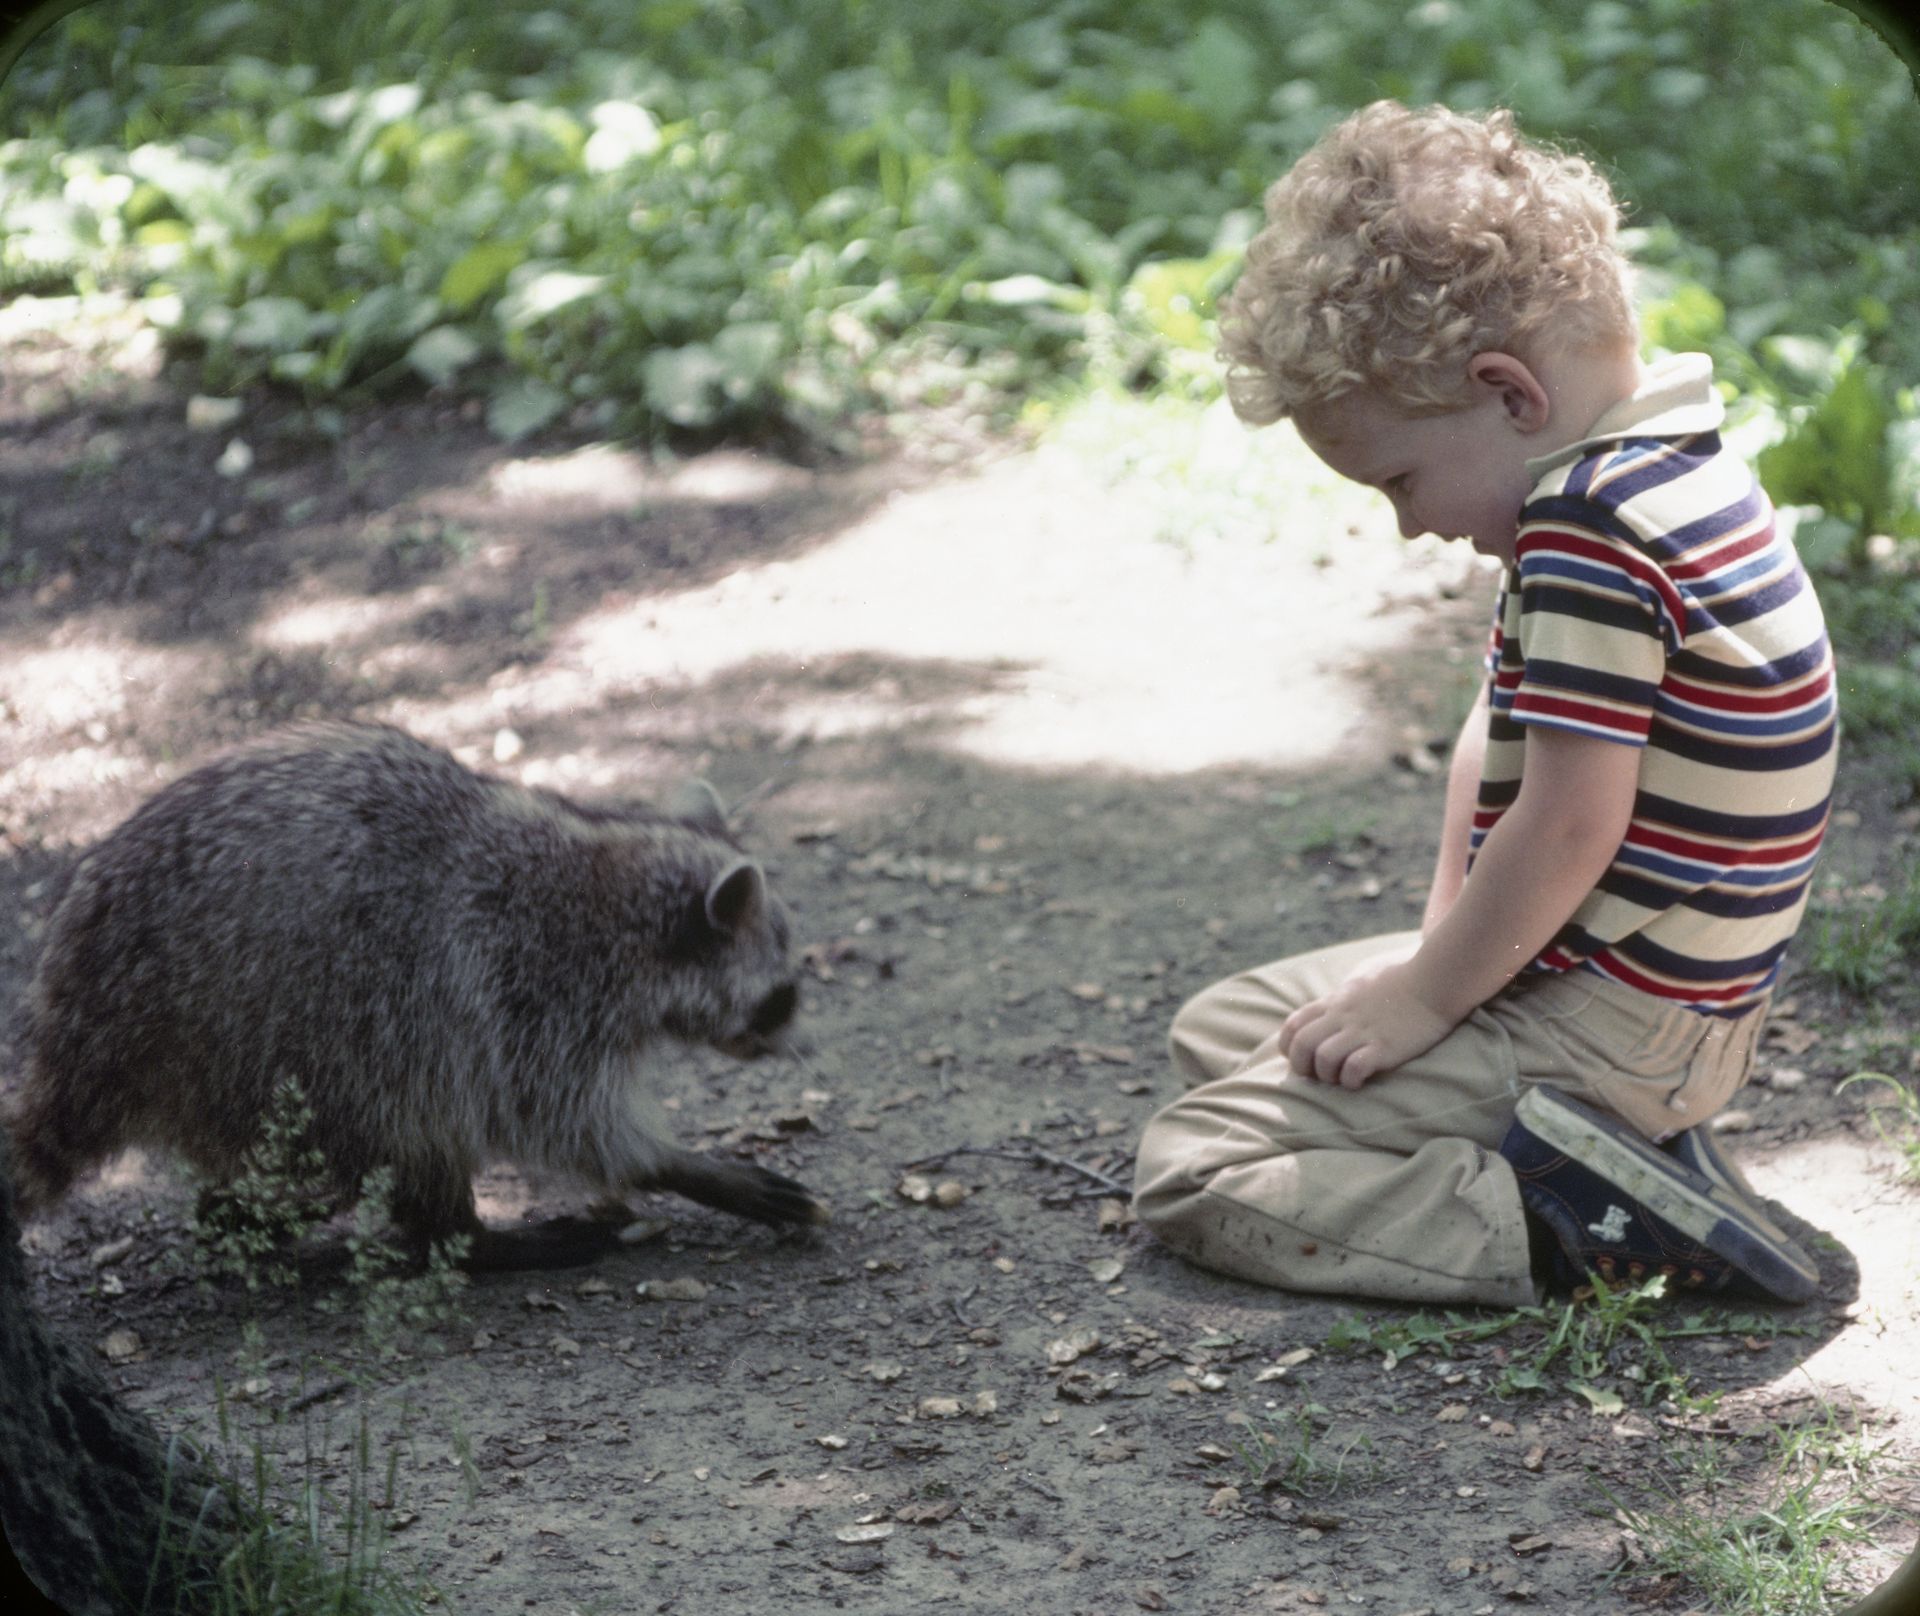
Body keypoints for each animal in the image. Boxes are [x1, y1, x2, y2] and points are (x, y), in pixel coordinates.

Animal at [5, 721, 827, 1268]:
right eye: (783, 996)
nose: (805, 1047)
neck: (623, 902)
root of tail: (75, 1015)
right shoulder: (526, 988)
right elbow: (561, 1120)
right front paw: (679, 1164)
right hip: (275, 1027)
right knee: (406, 1120)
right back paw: (473, 1238)